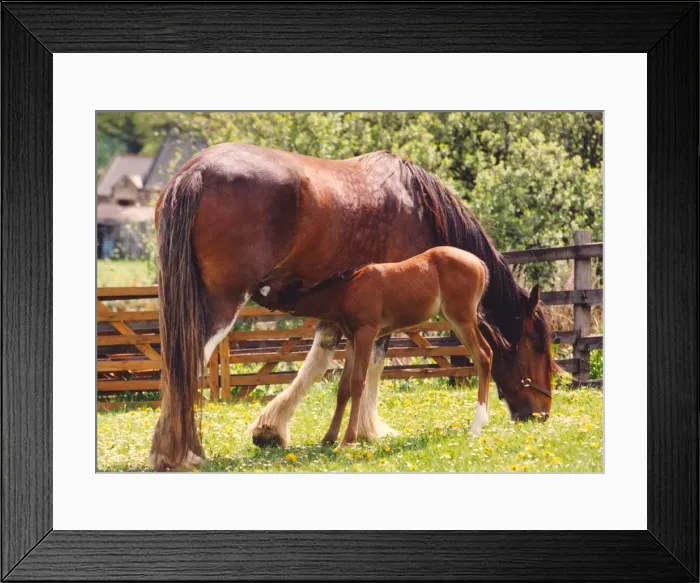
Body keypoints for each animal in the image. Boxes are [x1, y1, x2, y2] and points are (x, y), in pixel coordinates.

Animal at [253, 246, 515, 446]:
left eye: (268, 288)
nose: (255, 285)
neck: (347, 290)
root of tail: (479, 263)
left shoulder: (367, 333)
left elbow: (358, 383)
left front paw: (347, 440)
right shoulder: (352, 339)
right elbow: (344, 388)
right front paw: (329, 437)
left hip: (461, 317)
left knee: (483, 355)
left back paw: (477, 425)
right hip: (455, 319)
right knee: (484, 354)